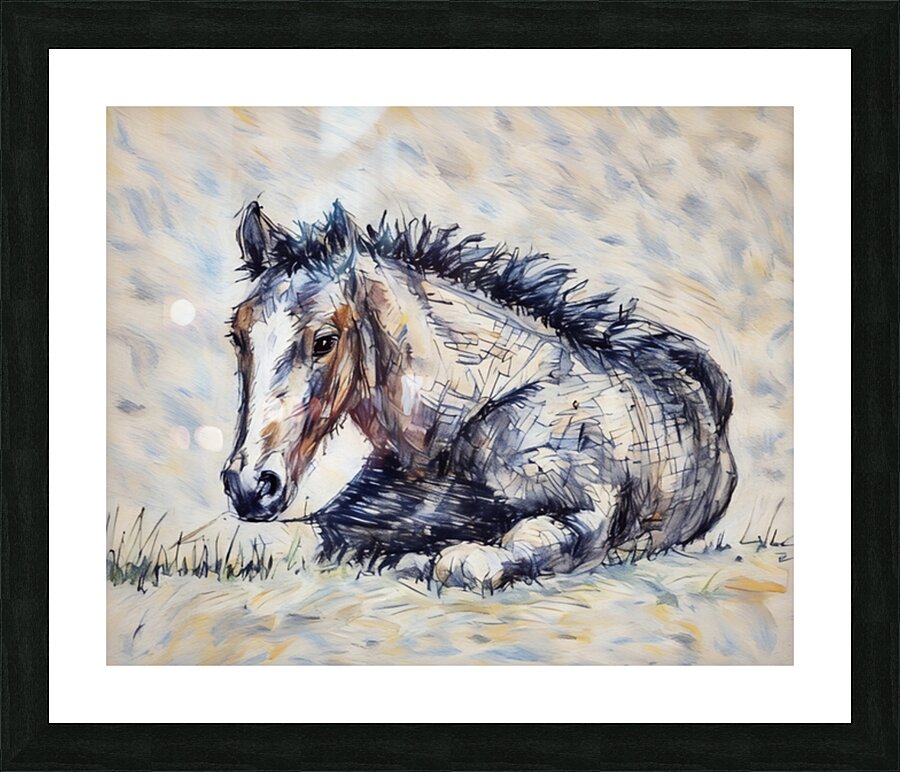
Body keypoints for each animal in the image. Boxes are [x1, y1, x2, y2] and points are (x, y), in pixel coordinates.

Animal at [222, 200, 738, 590]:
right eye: (238, 337)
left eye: (325, 341)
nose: (249, 486)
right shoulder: (359, 513)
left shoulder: (591, 515)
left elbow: (475, 560)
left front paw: (428, 560)